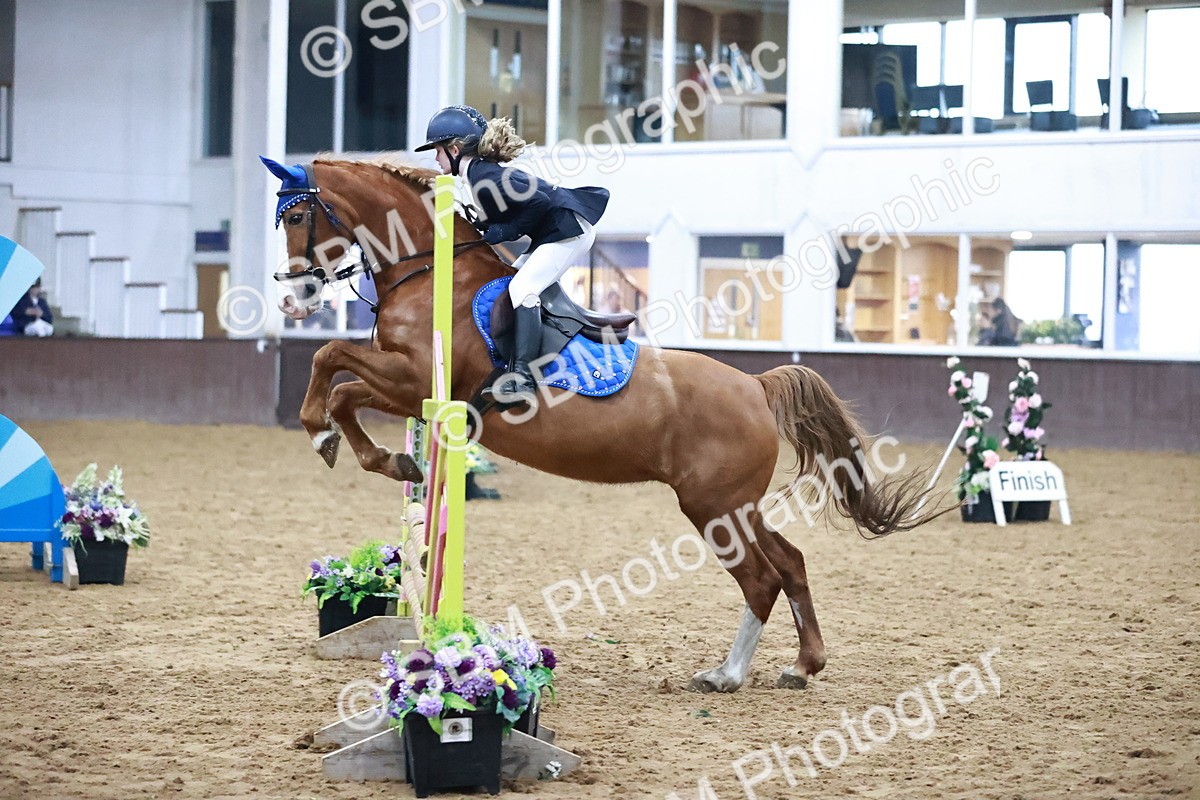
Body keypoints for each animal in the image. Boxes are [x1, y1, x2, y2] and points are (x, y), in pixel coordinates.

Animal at [268, 155, 942, 693]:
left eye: (297, 218)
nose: (292, 296)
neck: (432, 272)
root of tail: (754, 386)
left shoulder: (414, 381)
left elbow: (332, 364)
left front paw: (330, 438)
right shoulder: (407, 388)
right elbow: (342, 382)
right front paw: (382, 456)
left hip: (712, 505)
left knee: (761, 578)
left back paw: (726, 675)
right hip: (737, 505)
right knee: (791, 562)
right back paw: (802, 666)